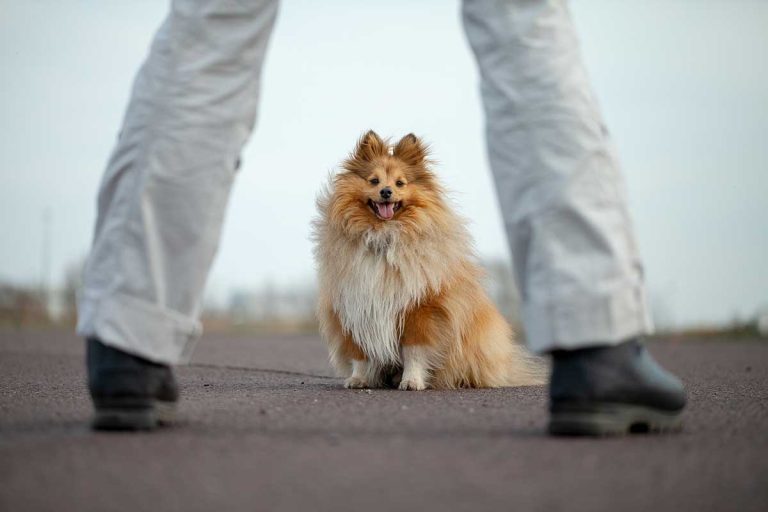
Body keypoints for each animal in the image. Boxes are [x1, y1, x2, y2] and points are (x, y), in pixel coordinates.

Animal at [312, 131, 540, 388]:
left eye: (400, 183)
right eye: (374, 181)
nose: (386, 192)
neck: (384, 237)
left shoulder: (419, 310)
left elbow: (414, 351)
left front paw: (411, 381)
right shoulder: (354, 307)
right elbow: (360, 354)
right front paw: (358, 379)